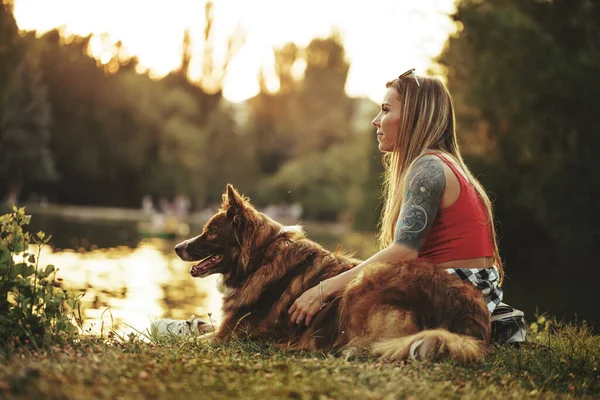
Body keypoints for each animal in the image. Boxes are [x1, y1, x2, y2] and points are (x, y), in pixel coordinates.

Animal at [175, 184, 492, 362]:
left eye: (211, 232)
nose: (178, 247)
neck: (261, 257)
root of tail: (468, 314)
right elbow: (196, 328)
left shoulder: (230, 335)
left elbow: (189, 339)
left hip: (366, 281)